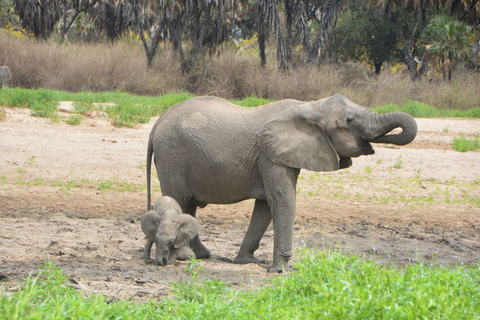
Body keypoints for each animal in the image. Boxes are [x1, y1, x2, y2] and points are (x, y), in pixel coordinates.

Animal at [145, 94, 416, 272]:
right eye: (350, 120)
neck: (309, 106)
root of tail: (155, 124)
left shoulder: (278, 155)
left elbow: (265, 205)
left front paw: (247, 262)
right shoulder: (270, 156)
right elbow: (282, 200)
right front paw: (279, 271)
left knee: (189, 206)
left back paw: (201, 256)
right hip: (173, 156)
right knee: (179, 200)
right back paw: (184, 257)